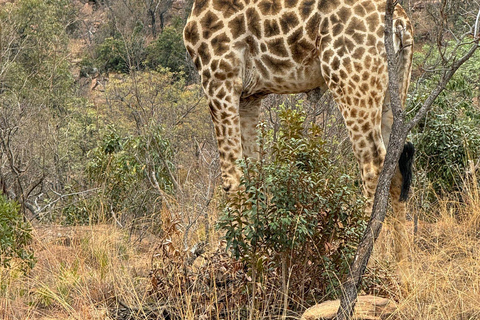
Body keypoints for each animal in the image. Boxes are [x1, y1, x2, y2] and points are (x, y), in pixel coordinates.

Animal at [182, 0, 414, 262]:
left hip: (351, 81)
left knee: (373, 163)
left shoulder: (220, 79)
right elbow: (253, 173)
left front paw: (240, 258)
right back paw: (400, 260)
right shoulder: (249, 96)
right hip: (395, 86)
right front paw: (257, 252)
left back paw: (356, 252)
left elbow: (232, 178)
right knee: (395, 164)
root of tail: (401, 22)